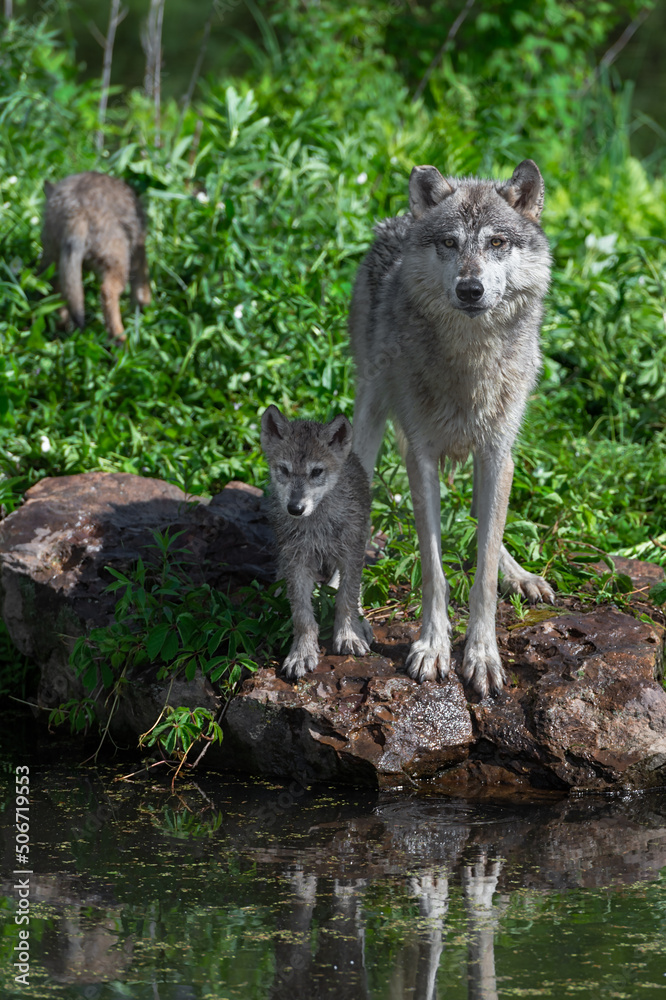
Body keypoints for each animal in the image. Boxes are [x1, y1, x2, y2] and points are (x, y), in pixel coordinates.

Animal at [40, 173, 151, 344]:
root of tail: (76, 211)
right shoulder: (138, 249)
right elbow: (141, 282)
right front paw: (144, 305)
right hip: (118, 263)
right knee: (107, 293)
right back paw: (120, 339)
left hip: (53, 260)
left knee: (56, 292)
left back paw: (62, 327)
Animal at [260, 404, 374, 680]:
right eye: (284, 470)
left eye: (316, 472)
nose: (295, 508)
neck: (317, 523)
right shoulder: (297, 562)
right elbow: (302, 614)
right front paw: (301, 653)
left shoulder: (351, 554)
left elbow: (346, 598)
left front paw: (349, 635)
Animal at [350, 160, 552, 700]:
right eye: (448, 243)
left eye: (497, 242)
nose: (470, 289)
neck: (469, 364)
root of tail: (399, 219)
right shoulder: (420, 457)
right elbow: (433, 569)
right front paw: (432, 648)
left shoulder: (498, 453)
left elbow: (483, 572)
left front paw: (482, 656)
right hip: (369, 418)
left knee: (487, 522)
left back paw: (520, 574)